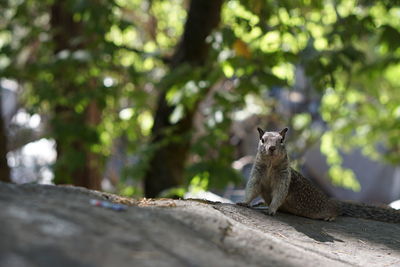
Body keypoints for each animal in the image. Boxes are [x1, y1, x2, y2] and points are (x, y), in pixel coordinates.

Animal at [238, 127, 400, 224]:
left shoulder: (284, 180)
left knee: (336, 211)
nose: (271, 148)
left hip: (328, 209)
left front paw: (271, 209)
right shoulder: (256, 175)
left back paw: (330, 216)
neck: (271, 166)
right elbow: (252, 189)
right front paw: (244, 203)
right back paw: (261, 203)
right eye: (262, 140)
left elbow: (279, 194)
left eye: (282, 140)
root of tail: (333, 201)